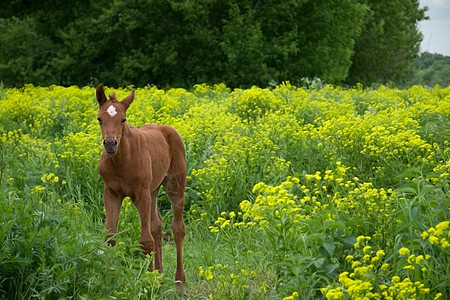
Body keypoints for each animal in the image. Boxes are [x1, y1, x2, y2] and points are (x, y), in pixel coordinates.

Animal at [95, 84, 186, 286]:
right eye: (99, 119)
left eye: (123, 119)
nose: (110, 144)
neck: (122, 161)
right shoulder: (111, 193)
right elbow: (110, 237)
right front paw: (108, 277)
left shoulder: (141, 193)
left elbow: (145, 240)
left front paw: (148, 281)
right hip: (153, 190)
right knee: (157, 225)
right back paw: (160, 274)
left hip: (175, 185)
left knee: (178, 228)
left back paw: (180, 282)